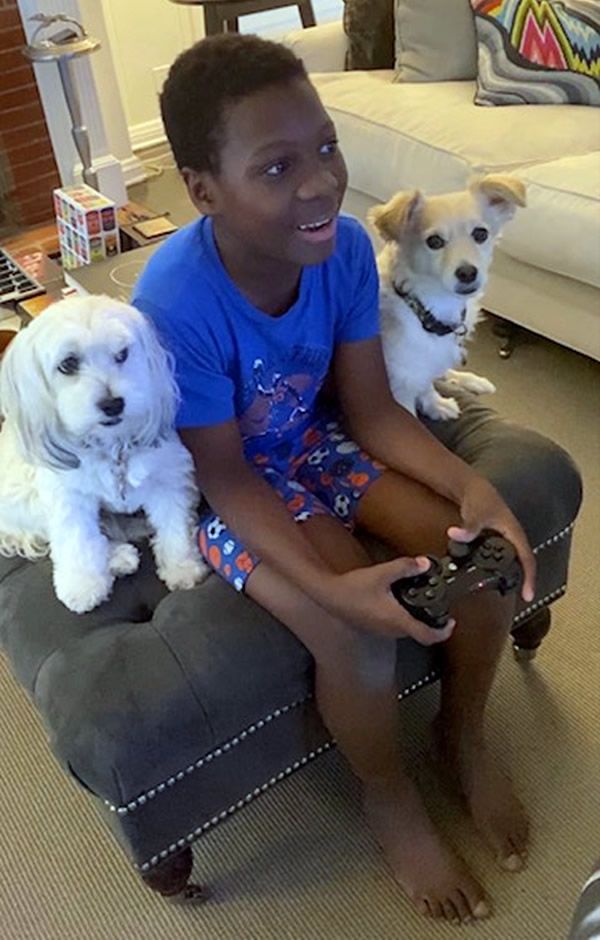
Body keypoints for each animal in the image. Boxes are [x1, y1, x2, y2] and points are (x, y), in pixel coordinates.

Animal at [0, 295, 208, 613]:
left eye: (122, 354)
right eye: (68, 364)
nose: (113, 404)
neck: (112, 446)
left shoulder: (168, 476)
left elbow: (174, 522)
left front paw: (181, 565)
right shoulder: (66, 496)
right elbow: (76, 538)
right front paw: (83, 585)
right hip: (24, 496)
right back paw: (118, 557)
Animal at [369, 175, 526, 420]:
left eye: (480, 234)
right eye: (434, 241)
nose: (468, 273)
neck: (428, 308)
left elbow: (427, 384)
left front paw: (436, 404)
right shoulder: (399, 386)